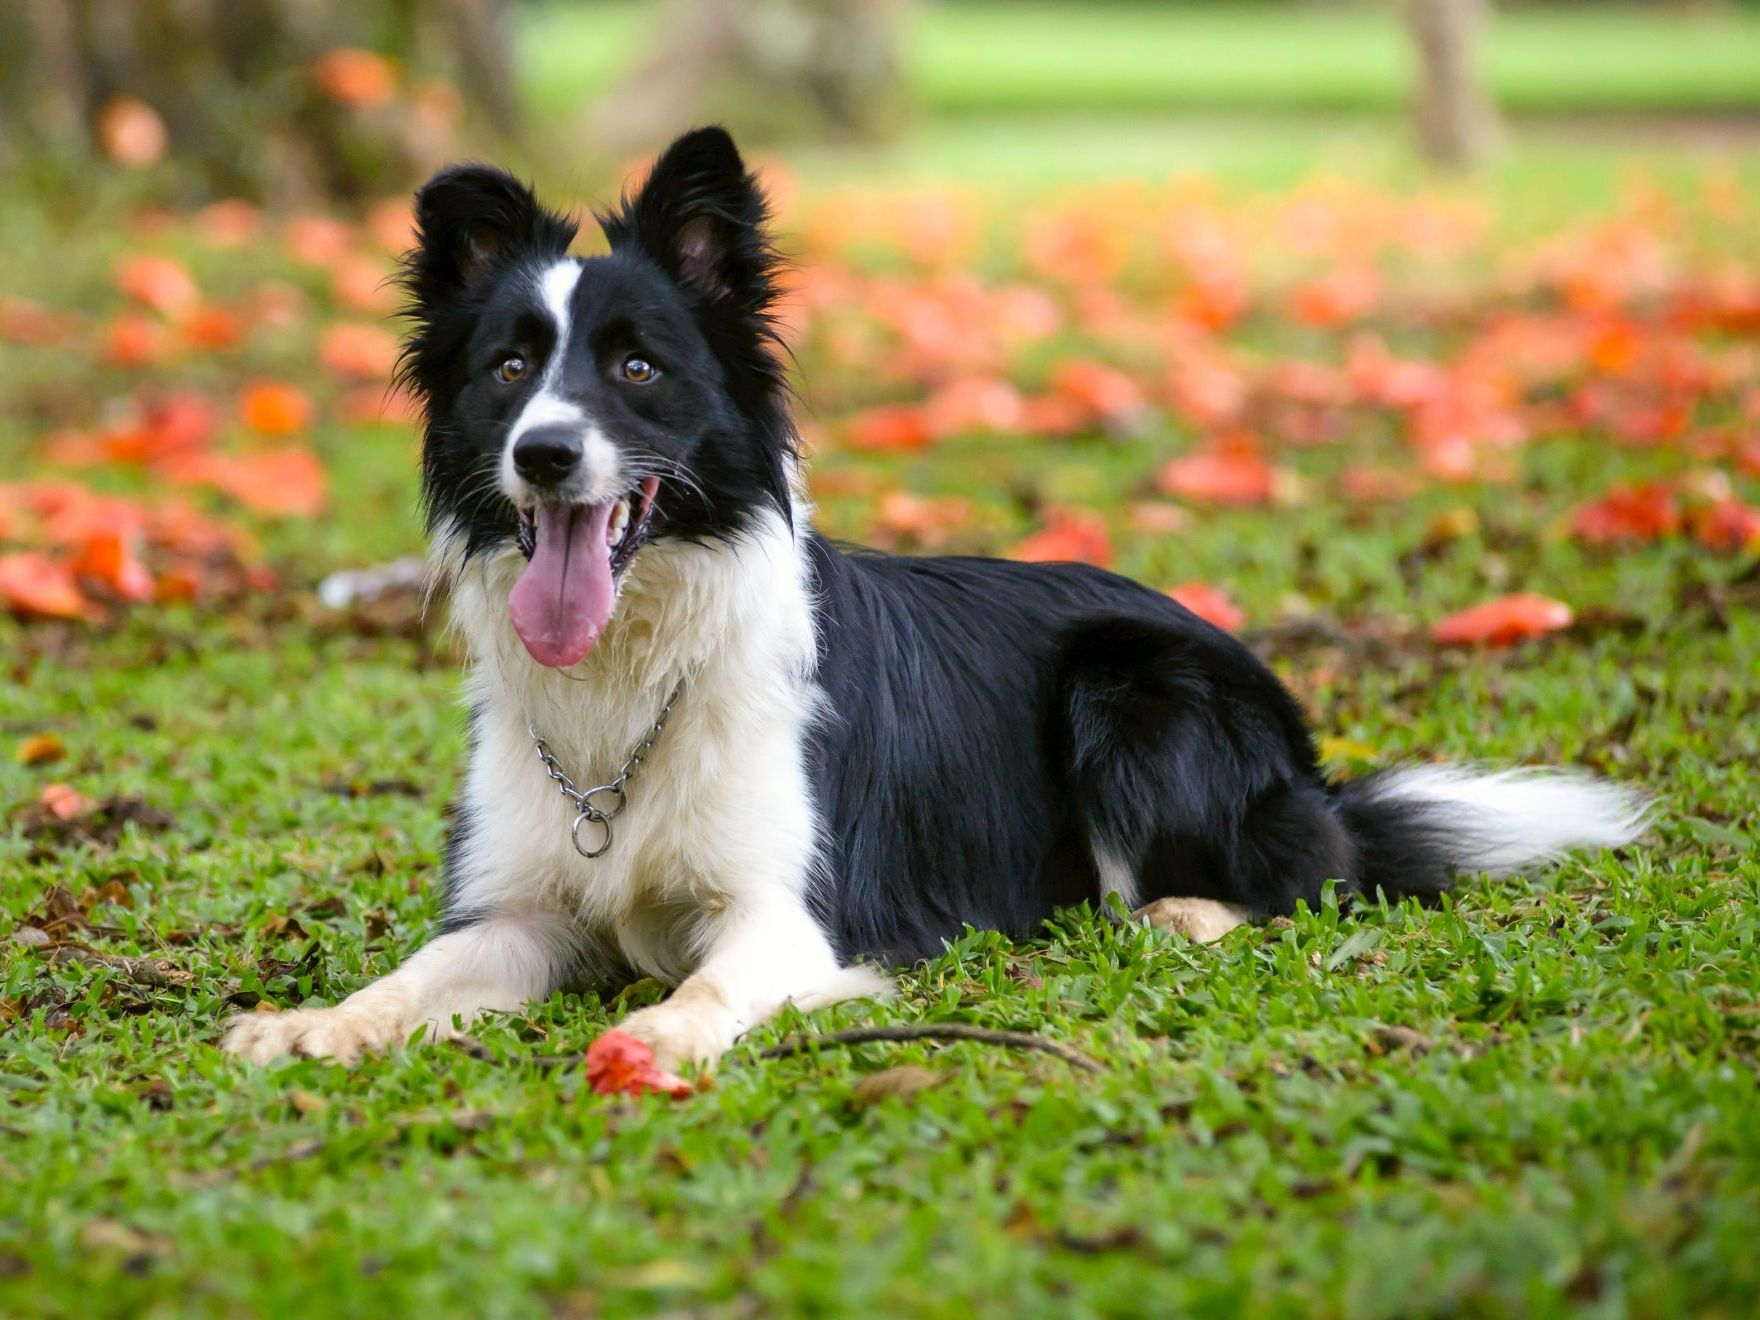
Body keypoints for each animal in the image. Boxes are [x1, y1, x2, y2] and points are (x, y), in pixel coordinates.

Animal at [223, 126, 1647, 1077]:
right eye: (510, 368)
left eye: (635, 367)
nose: (545, 456)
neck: (636, 673)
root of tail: (1304, 756)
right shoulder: (520, 911)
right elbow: (413, 974)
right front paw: (313, 1023)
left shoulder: (792, 917)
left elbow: (705, 992)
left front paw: (655, 1039)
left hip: (1130, 686)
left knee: (1303, 877)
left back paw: (1178, 913)